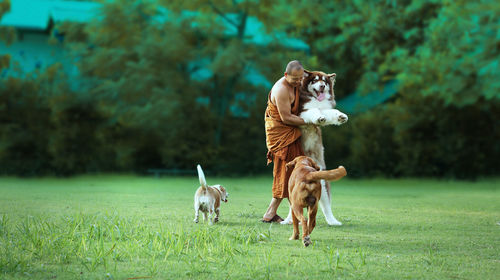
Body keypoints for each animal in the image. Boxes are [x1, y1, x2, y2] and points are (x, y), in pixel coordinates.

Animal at [282, 69, 348, 225]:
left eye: (324, 81)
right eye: (315, 80)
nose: (322, 86)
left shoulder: (324, 108)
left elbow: (331, 112)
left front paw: (341, 116)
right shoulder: (301, 111)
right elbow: (313, 111)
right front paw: (319, 117)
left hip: (322, 180)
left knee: (326, 204)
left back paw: (332, 221)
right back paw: (288, 220)